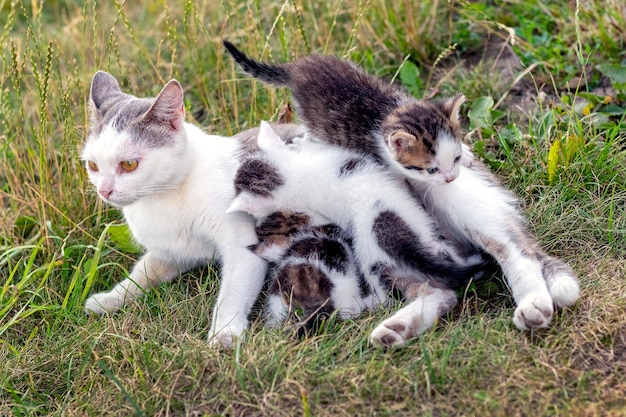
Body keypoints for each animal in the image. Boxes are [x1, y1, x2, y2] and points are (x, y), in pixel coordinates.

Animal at [80, 70, 304, 348]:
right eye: (93, 165)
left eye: (129, 164)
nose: (104, 191)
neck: (164, 197)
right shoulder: (173, 254)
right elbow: (140, 274)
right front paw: (109, 299)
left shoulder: (244, 248)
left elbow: (232, 294)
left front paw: (225, 333)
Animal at [222, 40, 470, 184]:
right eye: (431, 170)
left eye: (455, 158)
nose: (451, 178)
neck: (387, 113)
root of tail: (298, 67)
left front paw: (467, 153)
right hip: (312, 117)